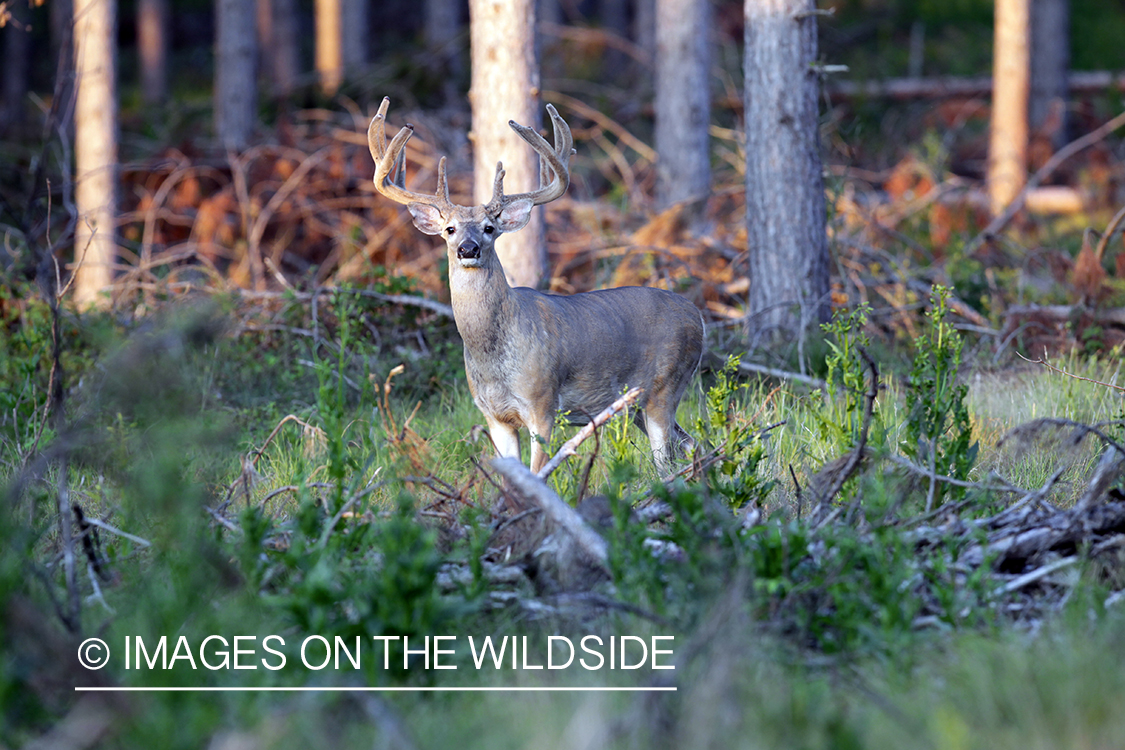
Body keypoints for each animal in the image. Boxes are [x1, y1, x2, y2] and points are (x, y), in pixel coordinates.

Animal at [369, 98, 702, 474]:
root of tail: (697, 314)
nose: (468, 249)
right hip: (640, 407)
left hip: (665, 385)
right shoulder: (494, 415)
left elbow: (539, 472)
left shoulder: (542, 404)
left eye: (489, 228)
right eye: (449, 229)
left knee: (666, 461)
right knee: (691, 443)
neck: (493, 356)